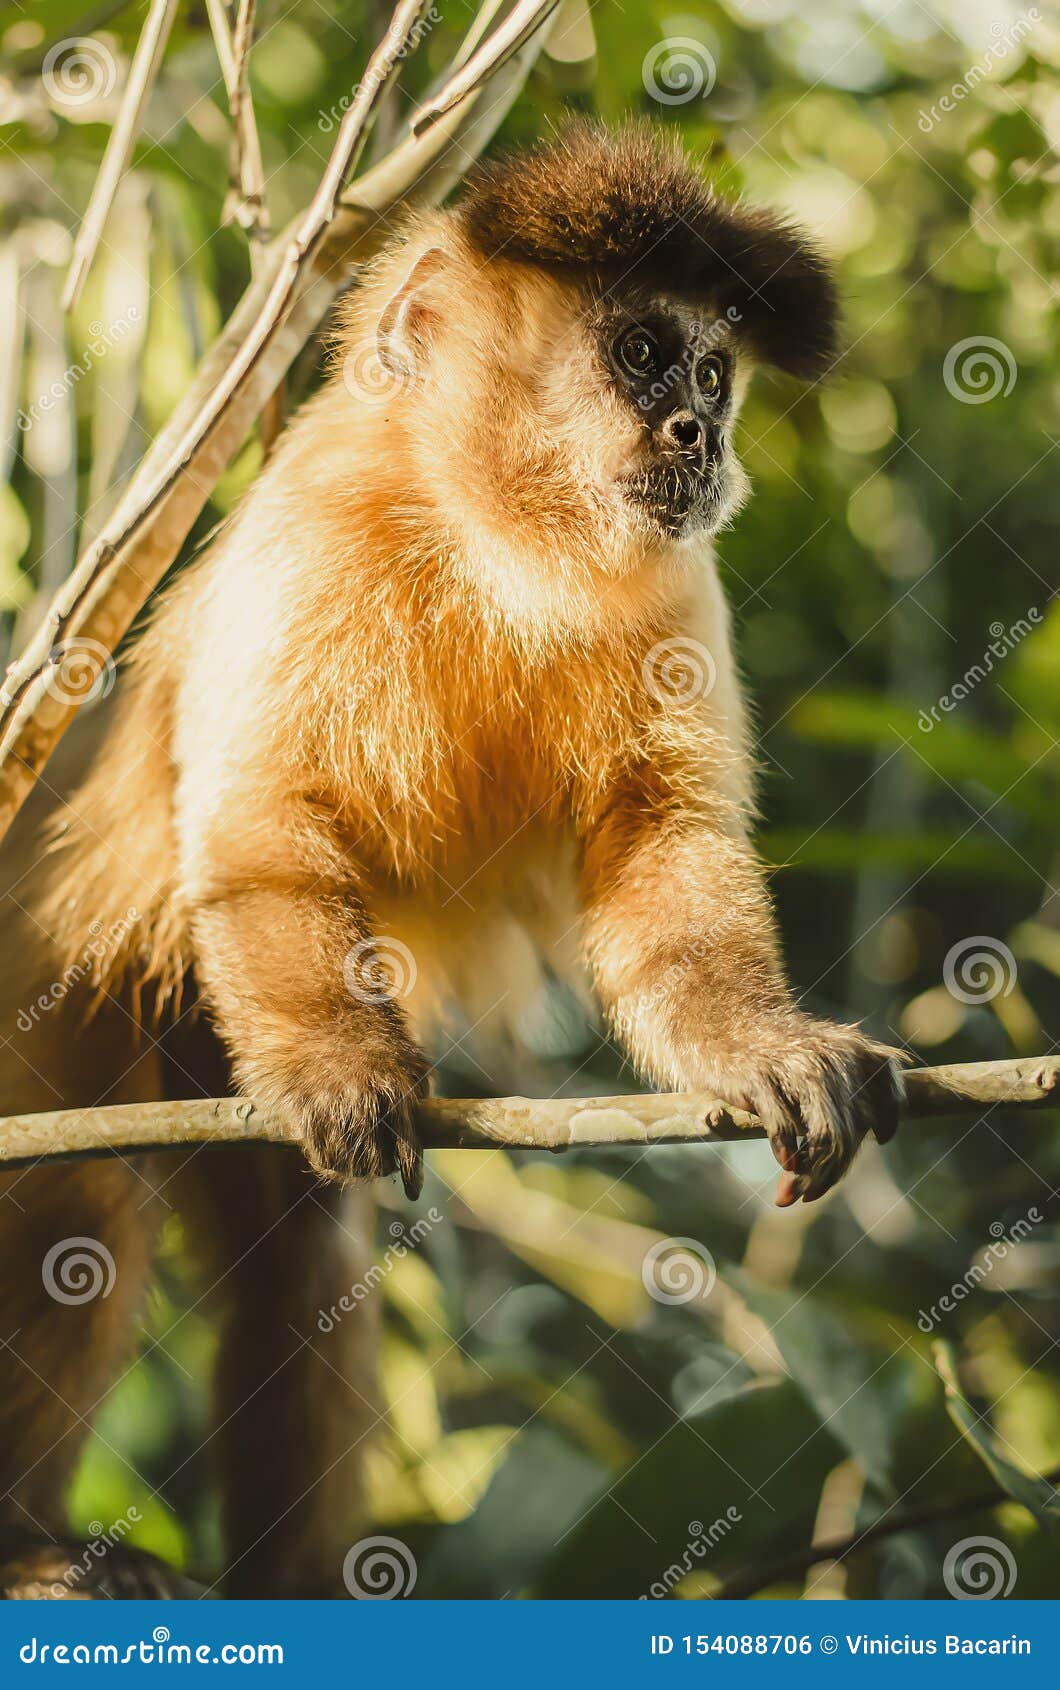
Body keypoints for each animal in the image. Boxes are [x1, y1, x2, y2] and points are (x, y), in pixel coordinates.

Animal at [0, 125, 906, 1588]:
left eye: (714, 373)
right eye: (643, 354)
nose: (702, 432)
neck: (494, 542)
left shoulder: (677, 585)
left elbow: (661, 851)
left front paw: (765, 1049)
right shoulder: (309, 524)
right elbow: (254, 824)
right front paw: (345, 1071)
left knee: (299, 1256)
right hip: (62, 983)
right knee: (79, 1187)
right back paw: (29, 1541)